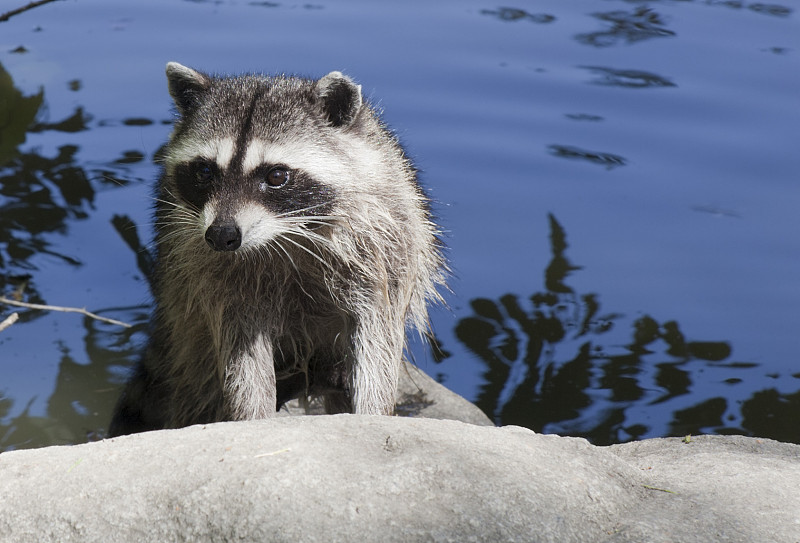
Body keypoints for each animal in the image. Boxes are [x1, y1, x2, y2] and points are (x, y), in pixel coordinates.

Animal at [107, 63, 446, 438]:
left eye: (277, 176)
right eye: (205, 171)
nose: (222, 235)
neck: (285, 235)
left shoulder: (385, 245)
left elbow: (377, 340)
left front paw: (373, 411)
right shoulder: (212, 272)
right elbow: (243, 354)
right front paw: (251, 417)